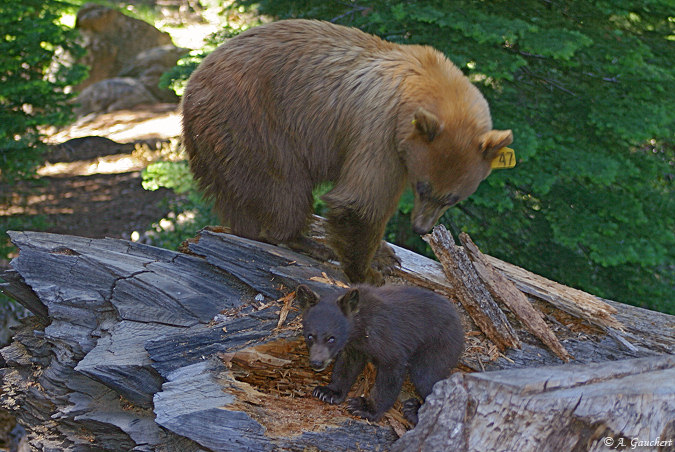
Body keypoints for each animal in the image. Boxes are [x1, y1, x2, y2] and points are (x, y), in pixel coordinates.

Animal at [182, 21, 516, 284]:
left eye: (452, 198)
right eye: (423, 187)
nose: (421, 227)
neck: (423, 81)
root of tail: (191, 86)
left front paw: (384, 253)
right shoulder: (378, 127)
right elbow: (361, 200)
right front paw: (368, 272)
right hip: (252, 124)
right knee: (282, 186)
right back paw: (302, 240)